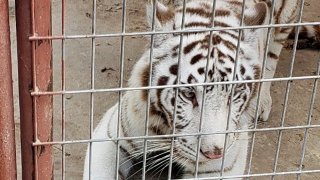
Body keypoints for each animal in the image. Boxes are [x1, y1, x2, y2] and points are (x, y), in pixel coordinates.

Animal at [83, 0, 320, 179]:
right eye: (188, 94)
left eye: (234, 94)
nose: (213, 153)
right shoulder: (110, 135)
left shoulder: (221, 166)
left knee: (271, 58)